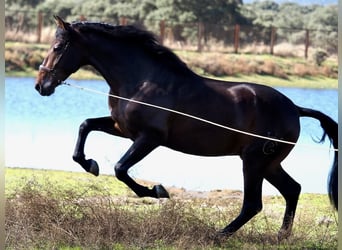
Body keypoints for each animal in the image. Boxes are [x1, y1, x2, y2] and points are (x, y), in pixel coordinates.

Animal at [34, 16, 336, 240]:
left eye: (57, 47)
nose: (40, 85)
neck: (142, 80)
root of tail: (294, 108)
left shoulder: (149, 138)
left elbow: (120, 169)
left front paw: (157, 191)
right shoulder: (122, 128)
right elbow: (85, 126)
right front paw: (90, 164)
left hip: (254, 161)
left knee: (254, 203)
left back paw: (218, 235)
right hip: (269, 163)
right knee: (292, 189)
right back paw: (281, 235)